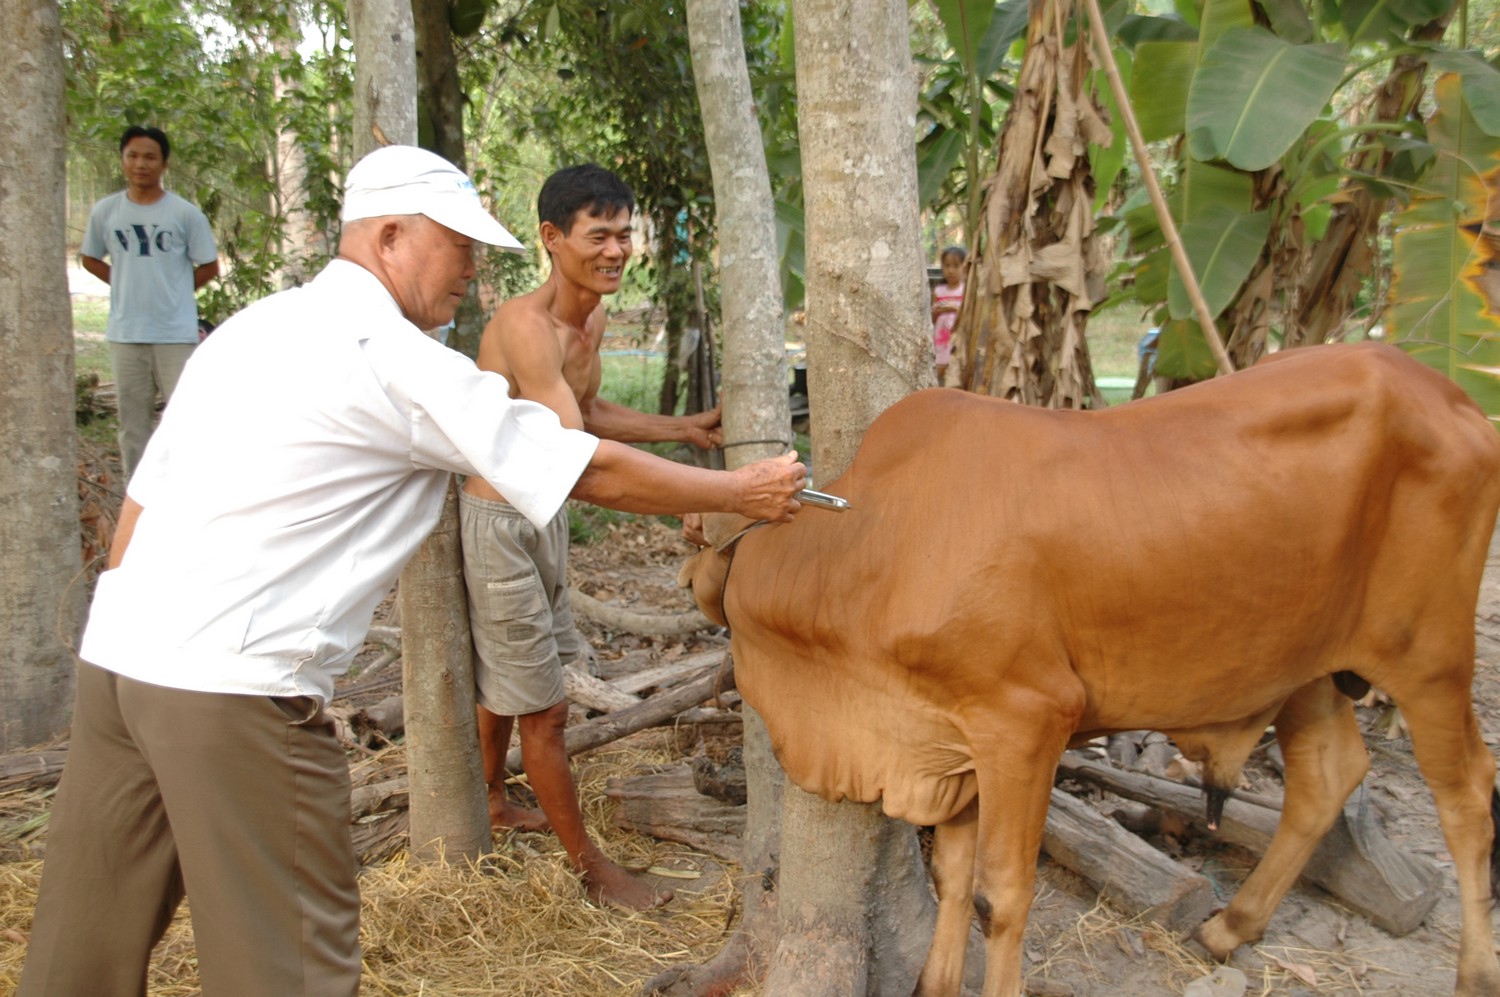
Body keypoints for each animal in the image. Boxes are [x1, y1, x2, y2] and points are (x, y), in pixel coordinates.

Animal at [681, 344, 1500, 995]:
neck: (866, 547)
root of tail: (1452, 395)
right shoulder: (953, 740)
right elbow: (952, 876)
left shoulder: (1026, 717)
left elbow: (1000, 894)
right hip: (1306, 669)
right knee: (1329, 774)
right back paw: (1232, 926)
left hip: (1430, 656)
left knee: (1467, 796)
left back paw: (1473, 970)